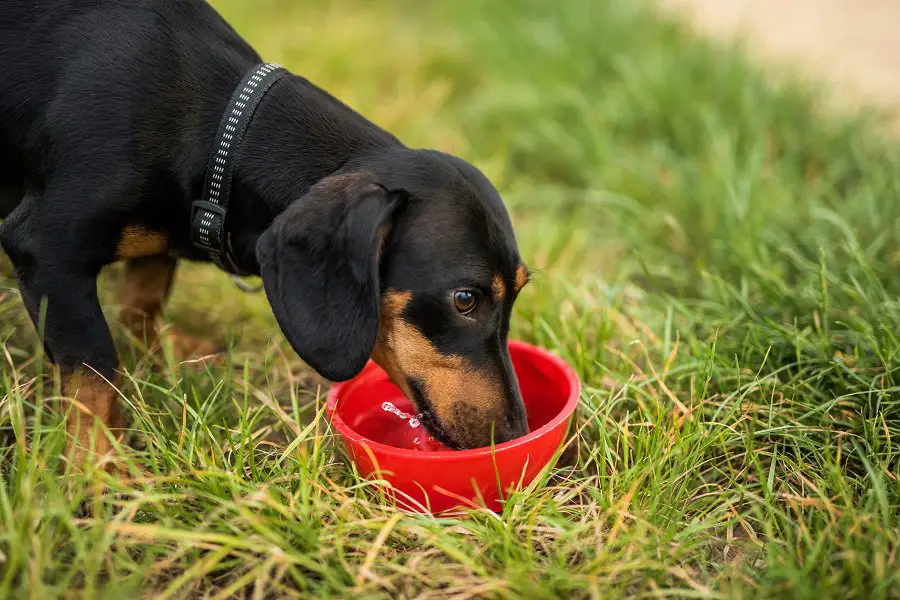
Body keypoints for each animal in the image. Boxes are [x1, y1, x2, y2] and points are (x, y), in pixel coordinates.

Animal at [0, 0, 532, 468]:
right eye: (464, 299)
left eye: (519, 291)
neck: (217, 130)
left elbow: (141, 302)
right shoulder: (46, 252)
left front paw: (163, 358)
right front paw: (99, 469)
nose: (515, 434)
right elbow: (94, 372)